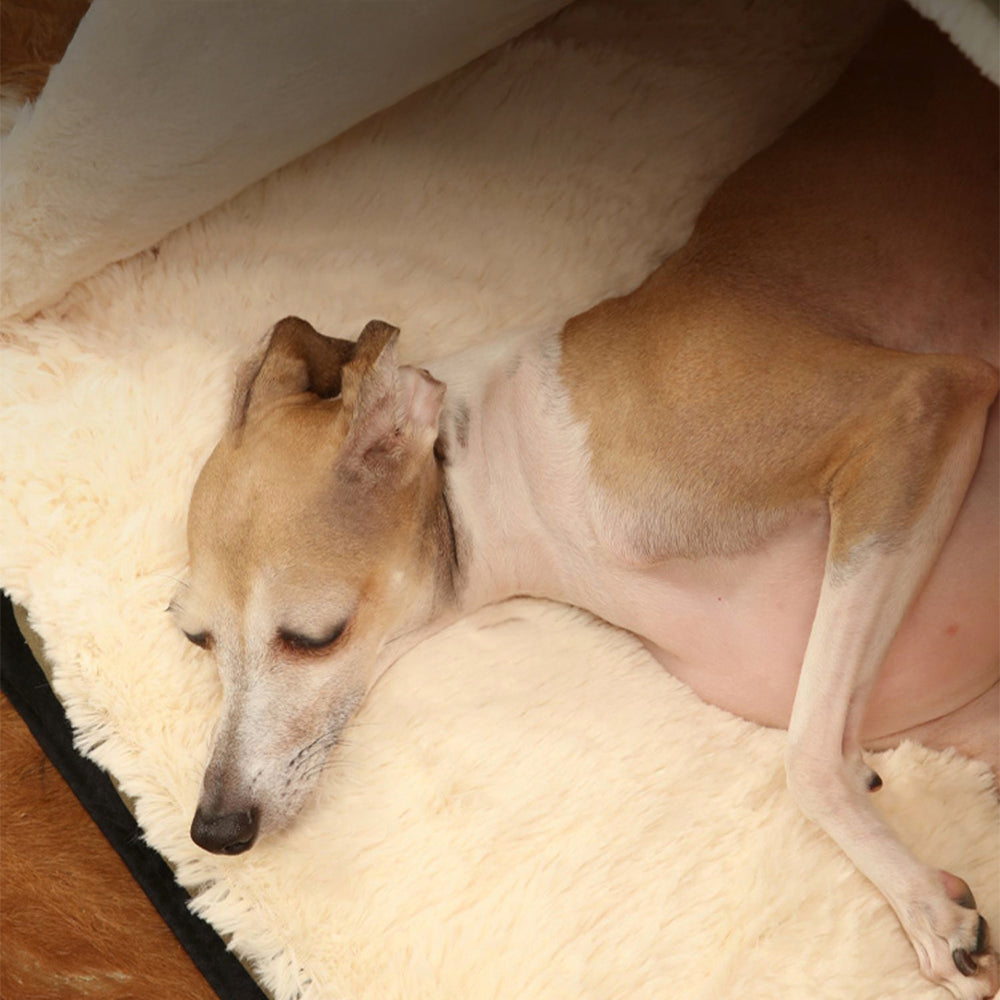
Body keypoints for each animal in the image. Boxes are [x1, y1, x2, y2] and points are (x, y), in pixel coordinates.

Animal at [174, 8, 998, 997]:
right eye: (196, 637)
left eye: (313, 636)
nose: (216, 830)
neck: (516, 469)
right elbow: (823, 749)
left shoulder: (918, 409)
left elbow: (806, 761)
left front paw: (925, 909)